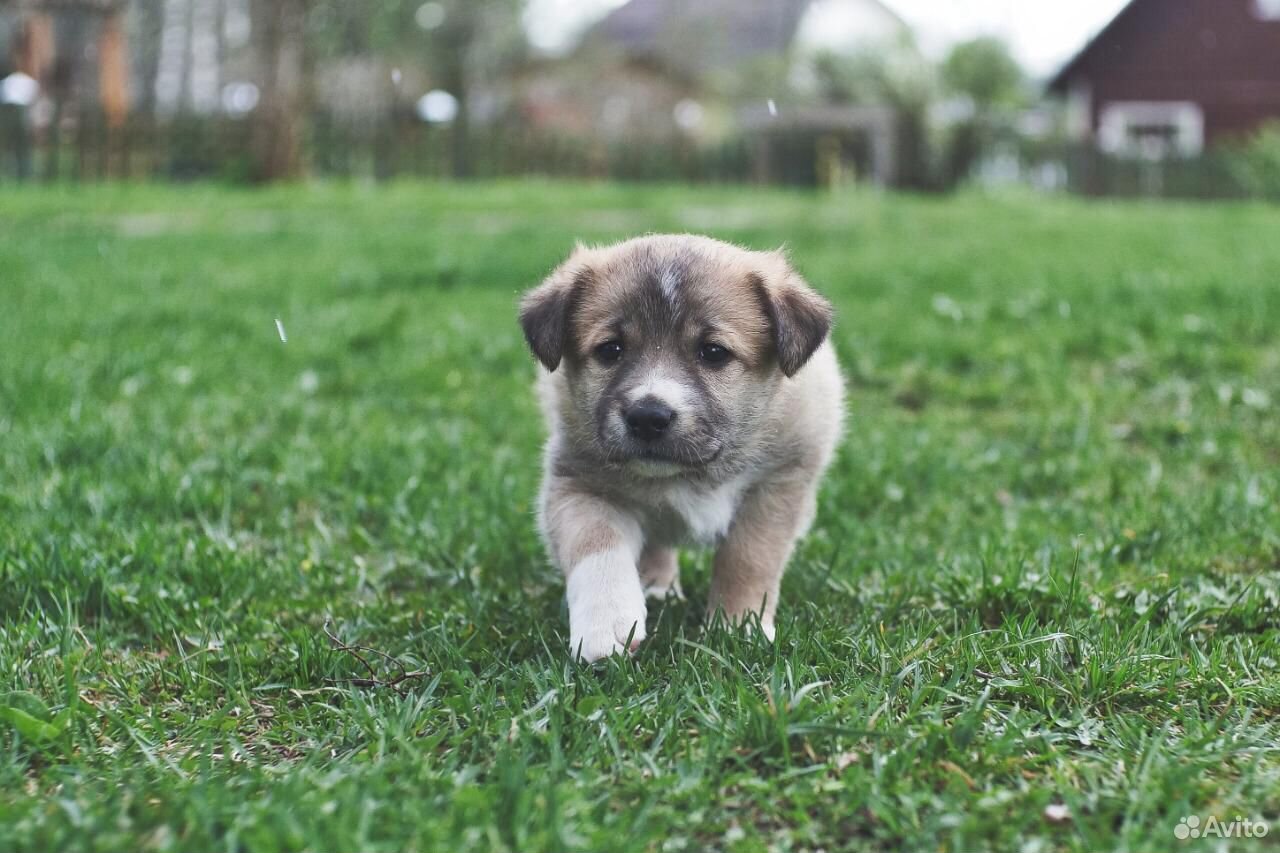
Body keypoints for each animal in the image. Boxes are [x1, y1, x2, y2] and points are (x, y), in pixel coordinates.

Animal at [514, 235, 844, 660]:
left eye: (713, 352)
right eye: (610, 350)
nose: (647, 417)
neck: (694, 475)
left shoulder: (778, 486)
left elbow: (748, 559)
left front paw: (738, 627)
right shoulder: (579, 484)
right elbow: (597, 548)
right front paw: (606, 626)